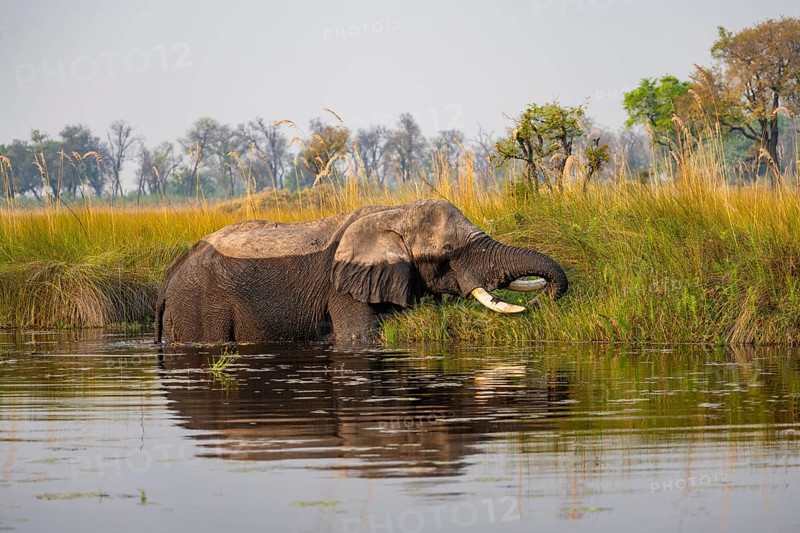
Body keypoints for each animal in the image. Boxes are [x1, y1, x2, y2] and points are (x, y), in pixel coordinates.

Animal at [155, 199, 568, 344]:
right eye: (448, 252)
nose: (543, 301)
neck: (394, 212)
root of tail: (169, 278)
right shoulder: (342, 288)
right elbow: (359, 337)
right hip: (198, 307)